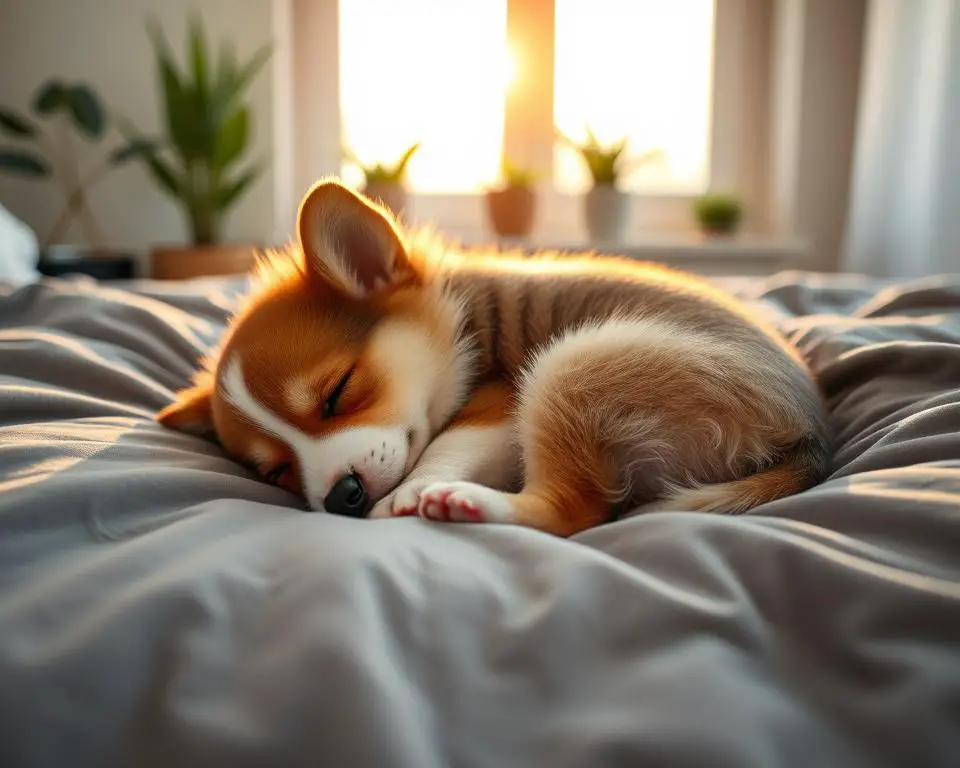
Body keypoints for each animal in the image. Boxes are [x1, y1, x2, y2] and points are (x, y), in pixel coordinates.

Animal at [156, 177, 824, 536]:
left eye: (338, 392)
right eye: (275, 473)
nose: (342, 496)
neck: (464, 322)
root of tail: (809, 441)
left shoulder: (500, 403)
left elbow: (446, 445)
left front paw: (411, 493)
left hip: (571, 365)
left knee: (574, 512)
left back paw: (470, 503)